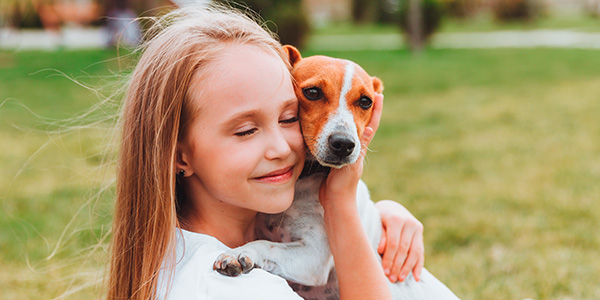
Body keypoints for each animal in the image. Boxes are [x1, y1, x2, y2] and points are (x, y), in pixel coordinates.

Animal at [212, 45, 460, 300]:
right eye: (312, 92)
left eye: (365, 101)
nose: (343, 144)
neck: (305, 179)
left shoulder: (313, 256)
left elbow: (265, 244)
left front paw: (240, 252)